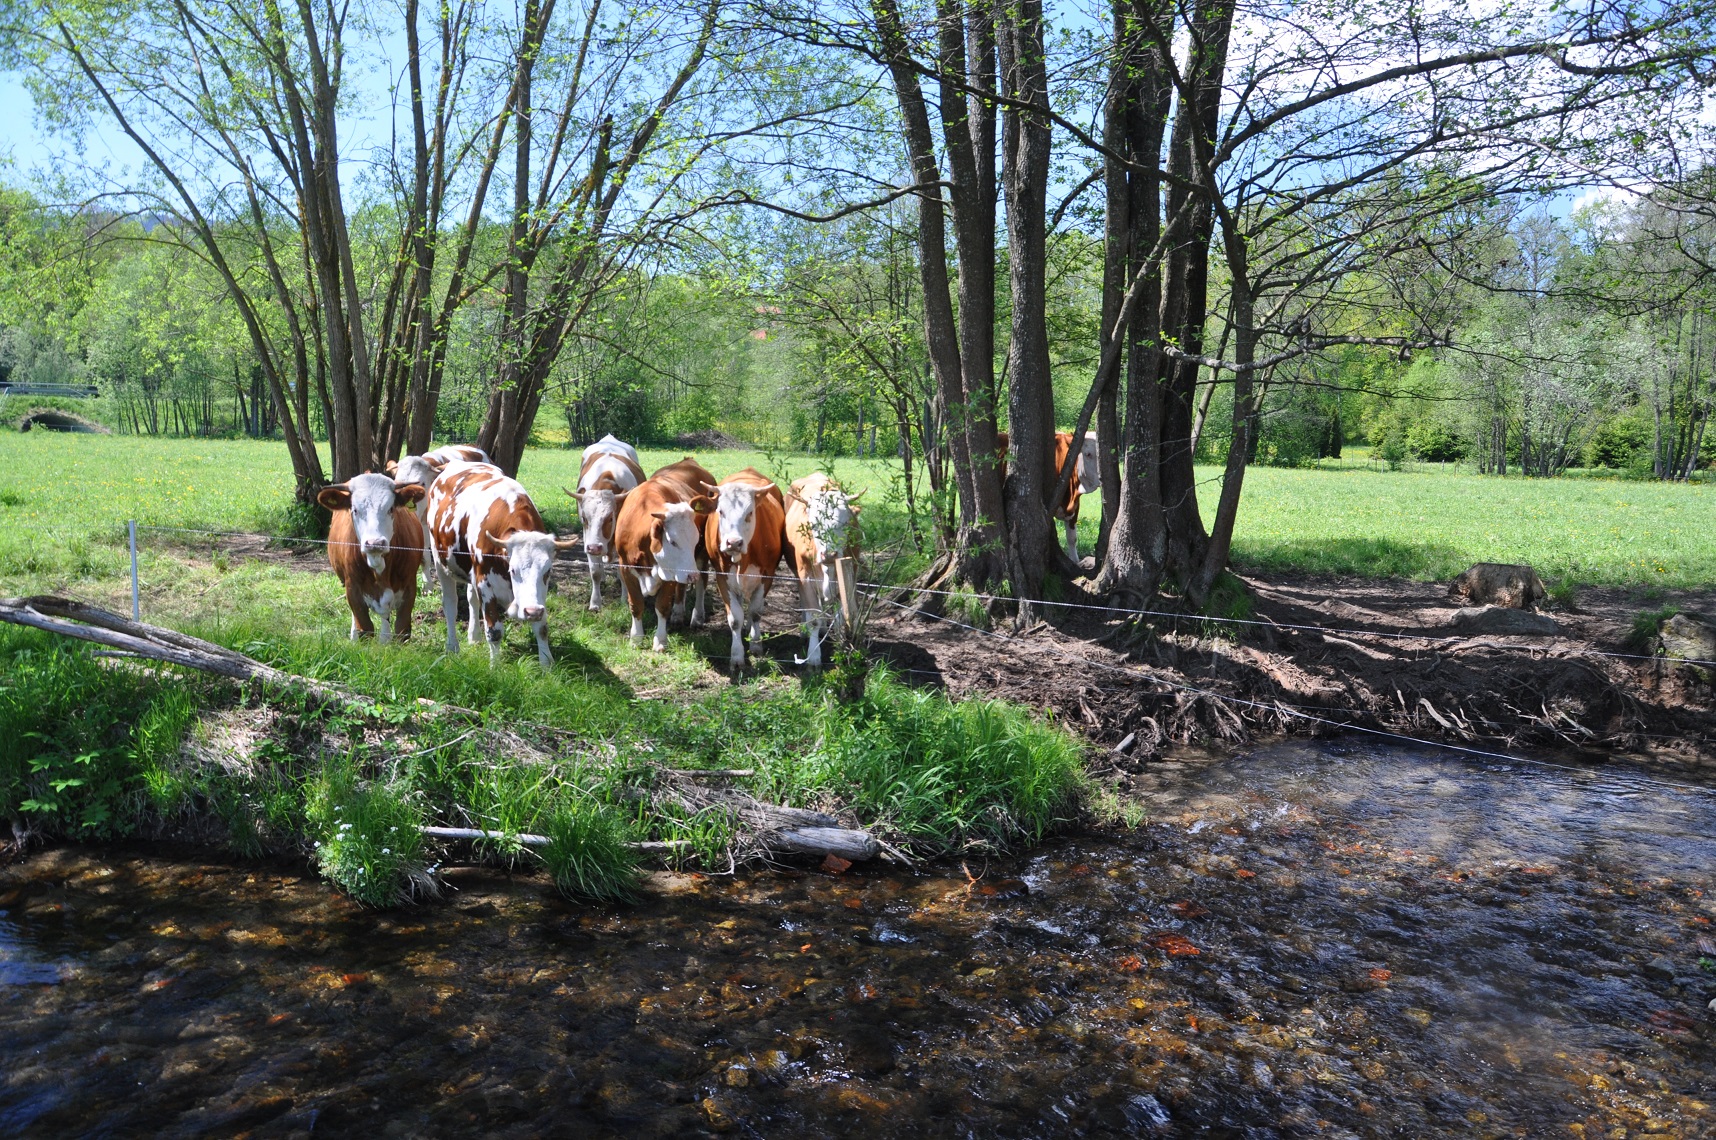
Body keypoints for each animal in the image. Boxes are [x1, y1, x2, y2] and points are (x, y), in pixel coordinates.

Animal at [322, 470, 429, 645]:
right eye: (355, 510)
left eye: (391, 508)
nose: (375, 542)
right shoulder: (353, 588)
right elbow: (365, 628)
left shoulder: (409, 586)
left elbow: (402, 630)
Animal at [422, 460, 576, 669]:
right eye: (513, 569)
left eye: (548, 571)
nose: (532, 611)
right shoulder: (485, 584)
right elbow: (494, 631)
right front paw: (495, 667)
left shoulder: (538, 596)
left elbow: (542, 628)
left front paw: (546, 665)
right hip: (441, 563)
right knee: (450, 604)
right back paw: (452, 646)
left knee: (471, 598)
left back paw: (474, 637)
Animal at [566, 442, 645, 611]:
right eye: (584, 518)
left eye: (610, 518)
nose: (595, 548)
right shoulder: (587, 539)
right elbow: (594, 572)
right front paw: (595, 603)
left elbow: (623, 572)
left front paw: (624, 599)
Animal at [700, 466, 785, 673]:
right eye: (720, 512)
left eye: (750, 513)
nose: (733, 542)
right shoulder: (722, 576)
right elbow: (735, 618)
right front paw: (737, 656)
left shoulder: (767, 575)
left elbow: (755, 612)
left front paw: (755, 645)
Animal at [782, 470, 858, 669]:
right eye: (813, 524)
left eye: (845, 523)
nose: (830, 554)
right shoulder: (805, 577)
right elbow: (814, 619)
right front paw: (814, 656)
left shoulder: (848, 574)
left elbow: (840, 620)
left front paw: (842, 650)